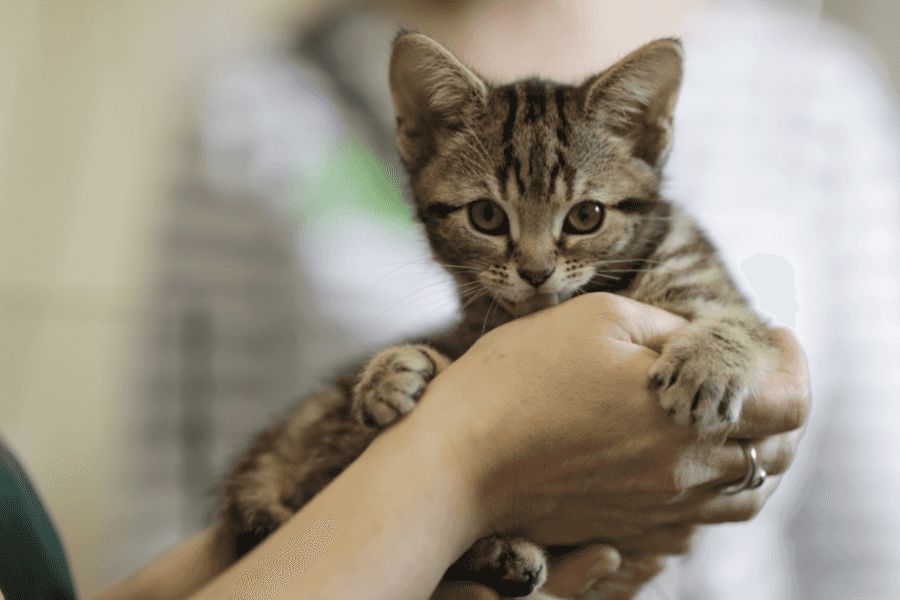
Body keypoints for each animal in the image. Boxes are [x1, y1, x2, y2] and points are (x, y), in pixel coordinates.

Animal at [221, 32, 776, 600]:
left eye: (586, 216)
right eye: (486, 216)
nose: (535, 271)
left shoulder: (709, 282)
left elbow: (742, 322)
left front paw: (705, 364)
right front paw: (391, 370)